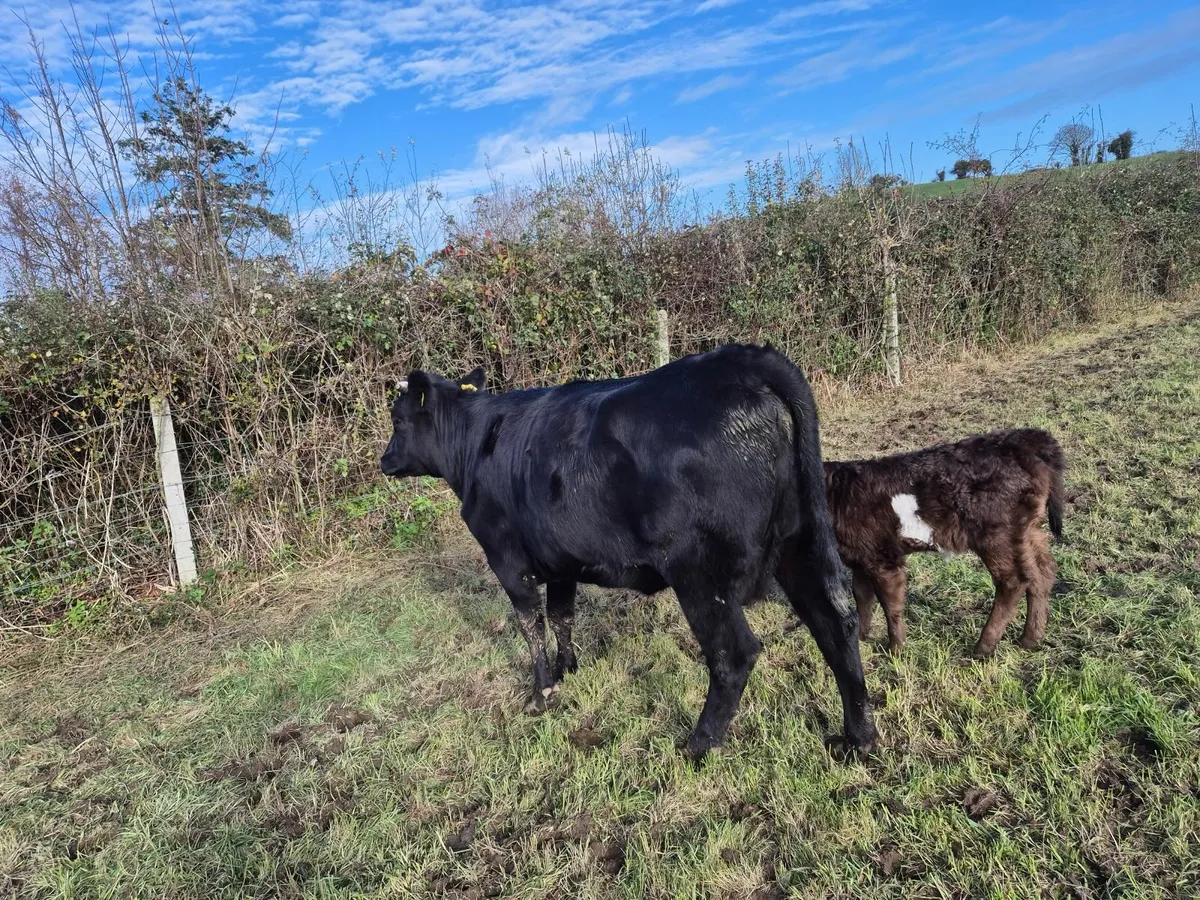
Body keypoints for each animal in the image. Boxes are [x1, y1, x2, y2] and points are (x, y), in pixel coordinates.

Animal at [380, 344, 877, 760]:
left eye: (398, 421)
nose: (384, 461)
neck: (477, 443)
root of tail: (738, 359)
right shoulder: (560, 560)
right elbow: (562, 615)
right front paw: (569, 668)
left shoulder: (507, 560)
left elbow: (531, 625)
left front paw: (542, 693)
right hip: (799, 541)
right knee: (834, 622)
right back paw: (859, 737)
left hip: (699, 572)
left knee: (734, 654)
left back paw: (697, 745)